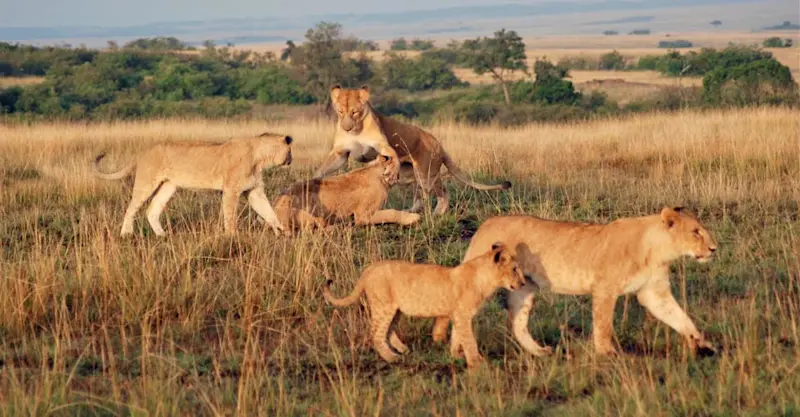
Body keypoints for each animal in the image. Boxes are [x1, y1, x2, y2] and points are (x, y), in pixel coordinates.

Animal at [92, 132, 293, 237]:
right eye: (290, 152)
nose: (291, 160)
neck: (260, 157)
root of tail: (144, 151)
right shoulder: (231, 190)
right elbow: (230, 216)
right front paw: (231, 236)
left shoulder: (254, 191)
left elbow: (268, 211)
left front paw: (282, 231)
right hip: (146, 182)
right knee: (131, 208)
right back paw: (126, 233)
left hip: (169, 186)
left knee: (152, 210)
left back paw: (162, 235)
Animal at [274, 155, 421, 233]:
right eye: (404, 164)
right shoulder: (362, 216)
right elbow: (391, 212)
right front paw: (413, 218)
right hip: (307, 215)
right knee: (315, 229)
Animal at [312, 85, 512, 215]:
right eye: (340, 112)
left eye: (354, 112)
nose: (346, 127)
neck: (356, 130)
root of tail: (438, 144)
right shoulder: (340, 153)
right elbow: (323, 168)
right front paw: (314, 181)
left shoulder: (383, 144)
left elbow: (391, 154)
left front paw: (391, 170)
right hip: (413, 174)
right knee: (420, 195)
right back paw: (411, 210)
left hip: (426, 173)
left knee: (441, 191)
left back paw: (437, 214)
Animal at [323, 242, 526, 368]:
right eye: (515, 269)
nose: (524, 283)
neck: (486, 280)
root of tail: (369, 268)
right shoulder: (462, 315)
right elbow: (469, 340)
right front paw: (476, 362)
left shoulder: (457, 315)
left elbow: (457, 338)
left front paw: (456, 355)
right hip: (383, 306)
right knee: (376, 334)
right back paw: (392, 357)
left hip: (395, 309)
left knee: (388, 330)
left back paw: (402, 350)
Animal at [430, 207, 719, 357]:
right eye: (696, 232)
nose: (714, 249)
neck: (657, 251)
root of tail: (486, 223)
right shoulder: (605, 288)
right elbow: (603, 325)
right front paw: (607, 354)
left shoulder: (653, 293)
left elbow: (679, 316)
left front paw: (700, 342)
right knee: (461, 310)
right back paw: (457, 352)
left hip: (524, 287)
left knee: (517, 323)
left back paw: (540, 352)